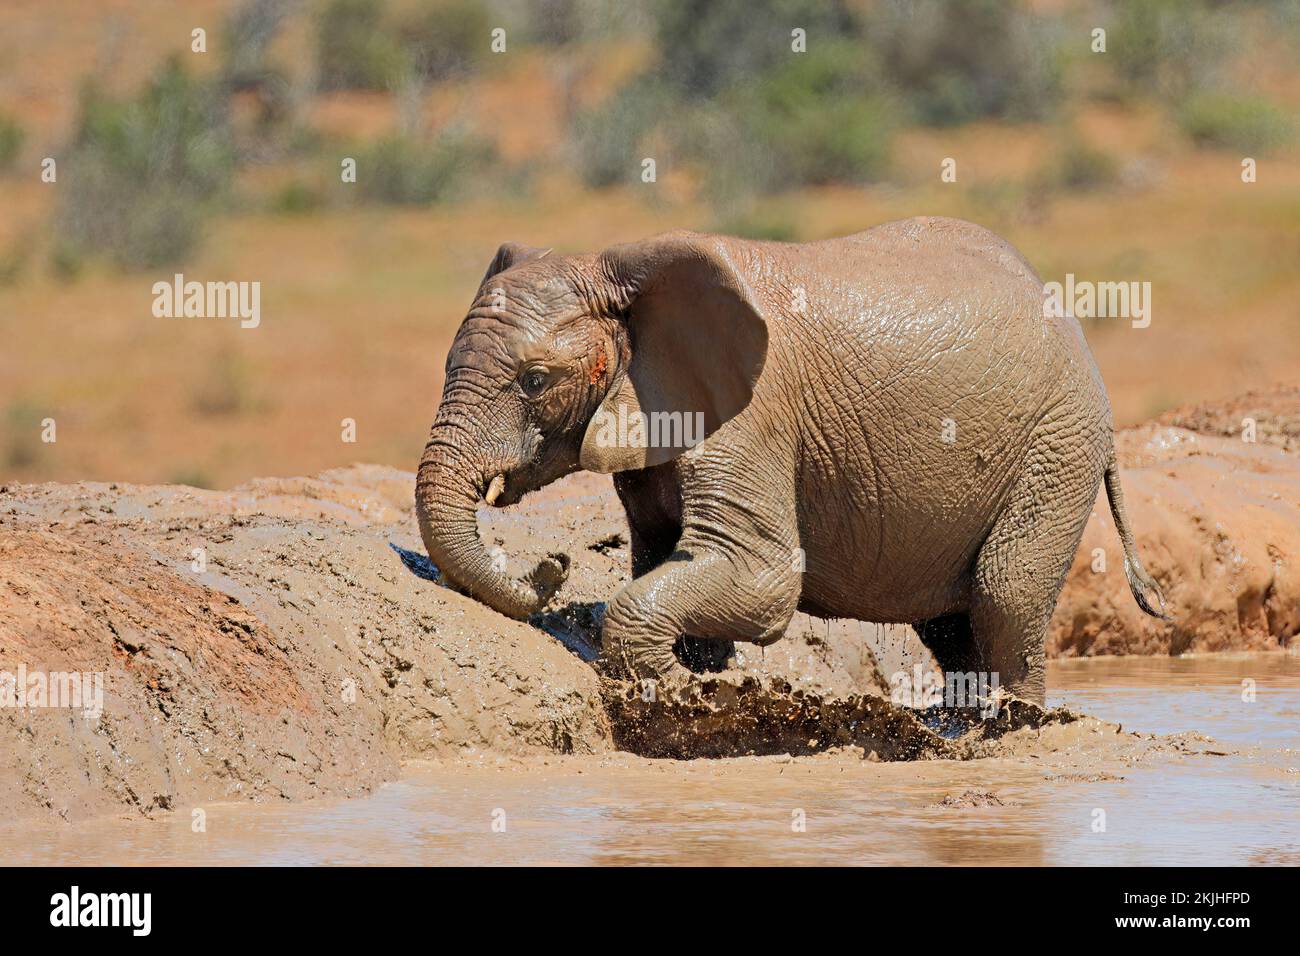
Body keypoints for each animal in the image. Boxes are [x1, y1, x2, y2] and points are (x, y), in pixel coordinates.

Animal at [416, 218, 1170, 712]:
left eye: (534, 381)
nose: (550, 568)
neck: (618, 271)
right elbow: (666, 556)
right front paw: (699, 676)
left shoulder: (753, 417)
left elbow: (761, 574)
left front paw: (678, 687)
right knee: (954, 625)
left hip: (1059, 440)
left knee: (1005, 592)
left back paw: (1014, 727)